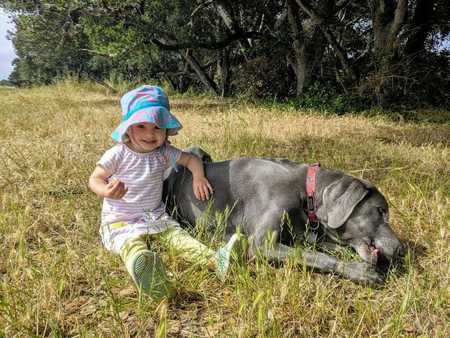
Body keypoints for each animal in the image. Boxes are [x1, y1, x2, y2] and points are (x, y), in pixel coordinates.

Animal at [163, 147, 404, 282]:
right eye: (381, 210)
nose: (401, 250)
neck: (307, 191)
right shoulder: (261, 245)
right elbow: (317, 257)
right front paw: (358, 271)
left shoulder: (302, 234)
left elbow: (325, 246)